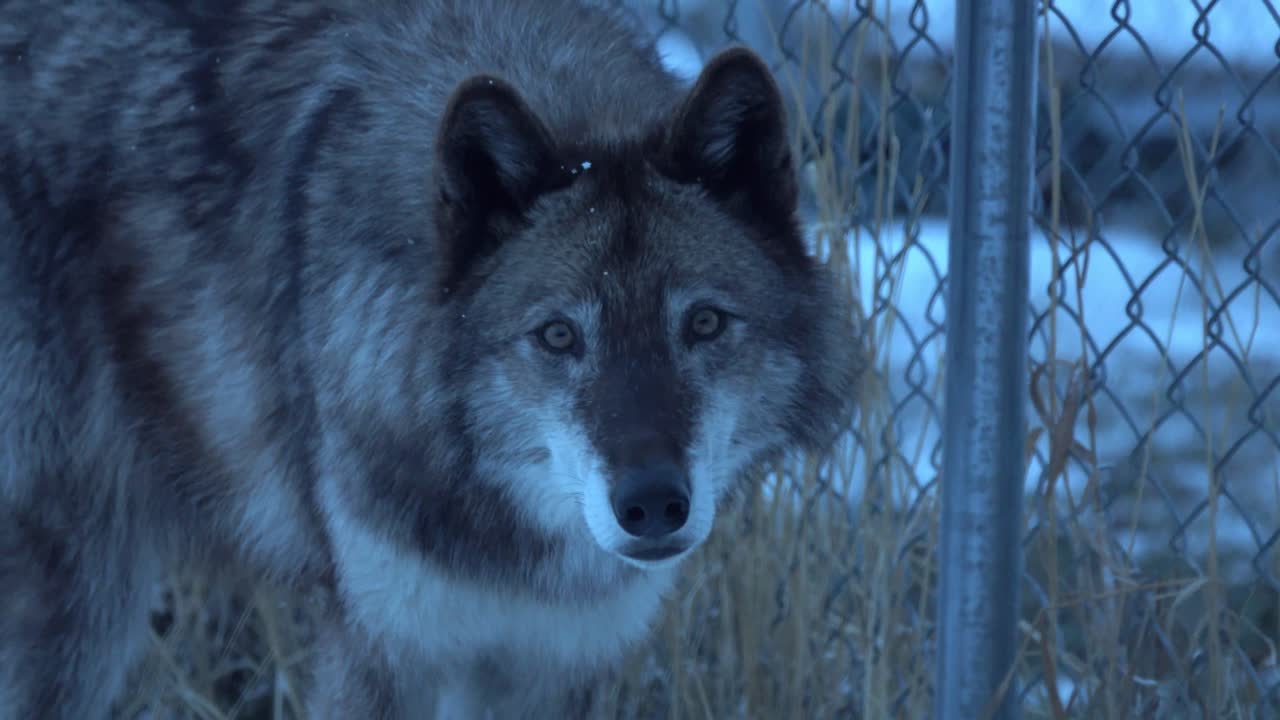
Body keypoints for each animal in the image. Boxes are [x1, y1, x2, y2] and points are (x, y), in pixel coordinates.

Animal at [0, 0, 860, 717]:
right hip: (79, 610)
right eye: (557, 336)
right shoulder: (382, 653)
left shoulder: (554, 665)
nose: (650, 504)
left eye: (705, 323)